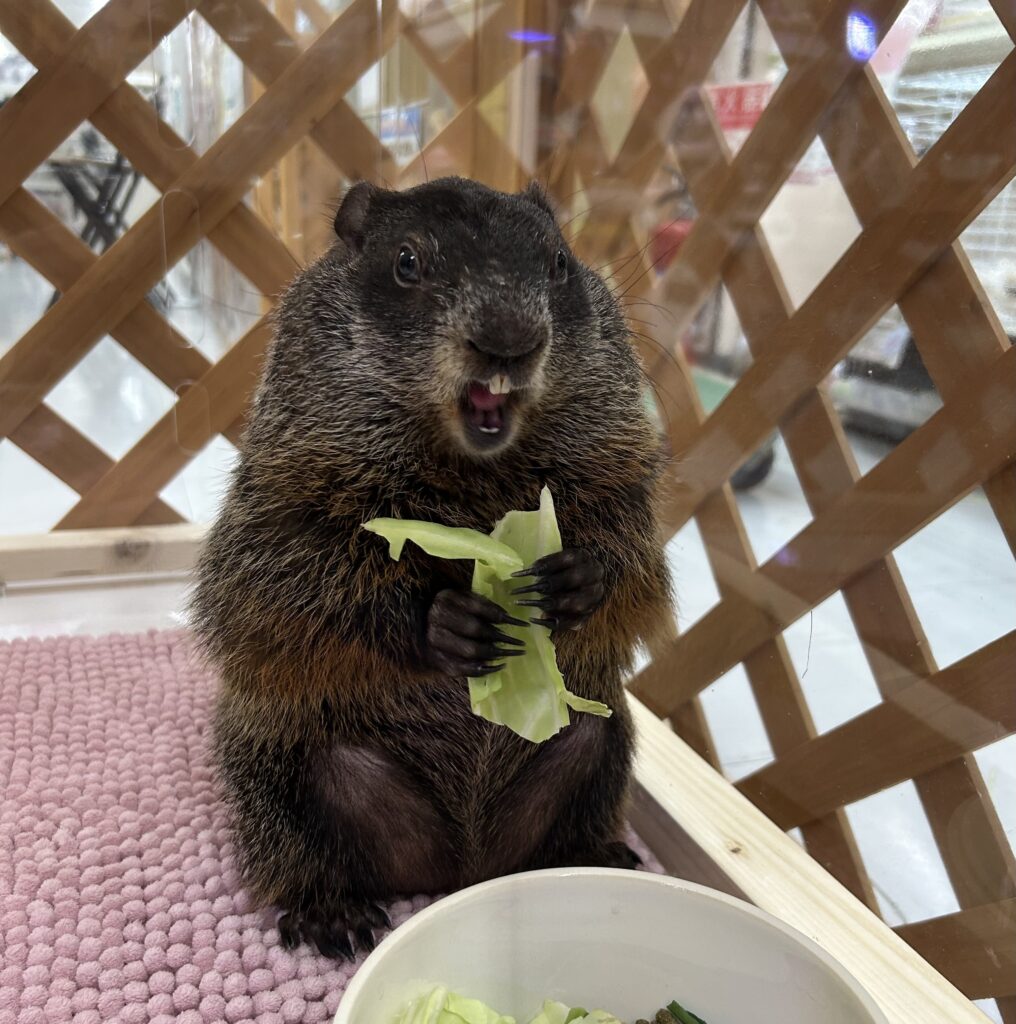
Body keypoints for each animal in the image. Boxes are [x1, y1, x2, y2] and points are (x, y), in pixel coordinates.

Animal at [191, 177, 673, 958]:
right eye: (407, 261)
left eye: (560, 262)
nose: (509, 339)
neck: (472, 468)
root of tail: (460, 866)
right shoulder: (288, 471)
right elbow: (278, 571)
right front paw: (444, 619)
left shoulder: (616, 456)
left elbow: (633, 546)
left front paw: (576, 580)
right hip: (277, 766)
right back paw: (330, 911)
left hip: (603, 749)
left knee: (590, 750)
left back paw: (599, 855)